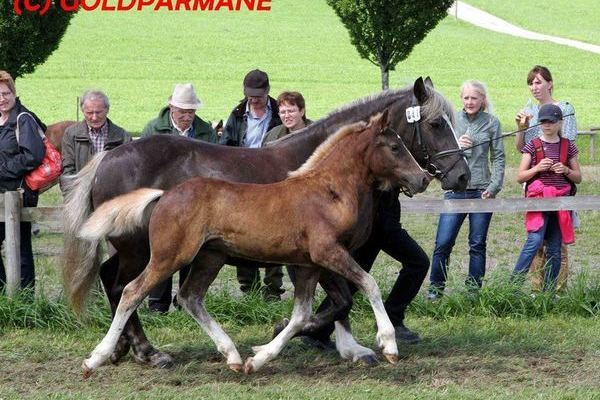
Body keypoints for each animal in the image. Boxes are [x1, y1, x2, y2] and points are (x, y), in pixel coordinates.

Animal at [63, 77, 472, 368]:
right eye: (436, 124)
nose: (462, 176)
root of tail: (107, 157)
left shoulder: (324, 254)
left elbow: (340, 299)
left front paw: (347, 346)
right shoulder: (317, 253)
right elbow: (340, 299)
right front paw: (326, 340)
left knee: (114, 279)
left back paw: (125, 349)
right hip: (144, 249)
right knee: (124, 287)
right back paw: (145, 352)